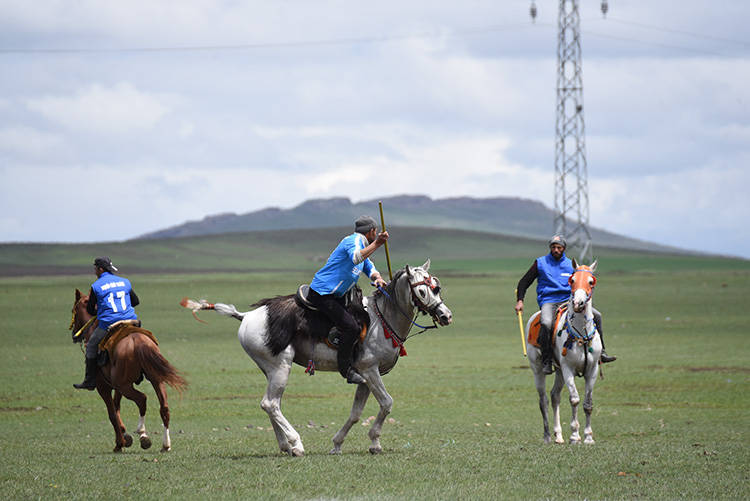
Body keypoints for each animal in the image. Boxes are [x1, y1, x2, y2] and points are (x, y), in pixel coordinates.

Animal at [69, 288, 188, 452]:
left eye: (73, 310)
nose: (74, 334)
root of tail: (137, 340)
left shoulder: (104, 387)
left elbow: (112, 412)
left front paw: (120, 443)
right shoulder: (116, 387)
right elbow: (117, 406)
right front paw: (124, 435)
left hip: (125, 385)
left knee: (142, 399)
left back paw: (142, 434)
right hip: (155, 379)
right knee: (164, 408)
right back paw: (165, 444)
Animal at [184, 260, 452, 456]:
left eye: (436, 287)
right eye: (421, 290)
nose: (446, 315)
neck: (382, 319)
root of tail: (247, 316)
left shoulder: (365, 376)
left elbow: (356, 414)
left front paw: (343, 444)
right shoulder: (370, 370)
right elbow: (387, 403)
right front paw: (371, 442)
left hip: (270, 369)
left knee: (270, 404)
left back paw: (285, 446)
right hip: (281, 366)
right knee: (270, 403)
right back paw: (296, 444)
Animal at [528, 260, 604, 444]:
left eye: (591, 281)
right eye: (572, 280)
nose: (578, 304)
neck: (582, 335)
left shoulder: (592, 370)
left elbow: (588, 404)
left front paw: (588, 437)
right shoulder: (568, 369)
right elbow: (574, 400)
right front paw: (575, 436)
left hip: (559, 371)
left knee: (555, 396)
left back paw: (558, 436)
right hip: (538, 369)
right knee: (543, 400)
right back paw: (548, 436)